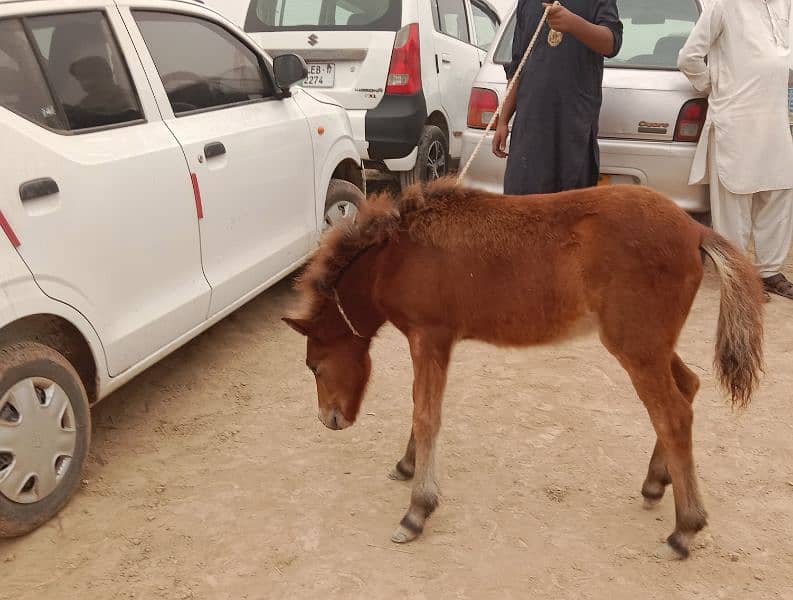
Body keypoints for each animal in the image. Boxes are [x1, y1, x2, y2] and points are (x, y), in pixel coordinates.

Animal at [284, 178, 760, 556]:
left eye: (314, 366)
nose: (330, 419)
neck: (397, 256)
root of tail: (696, 229)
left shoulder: (430, 336)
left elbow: (426, 415)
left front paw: (417, 511)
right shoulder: (436, 342)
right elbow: (423, 408)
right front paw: (407, 466)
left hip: (636, 346)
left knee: (673, 415)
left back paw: (685, 529)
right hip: (651, 344)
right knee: (689, 387)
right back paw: (656, 483)